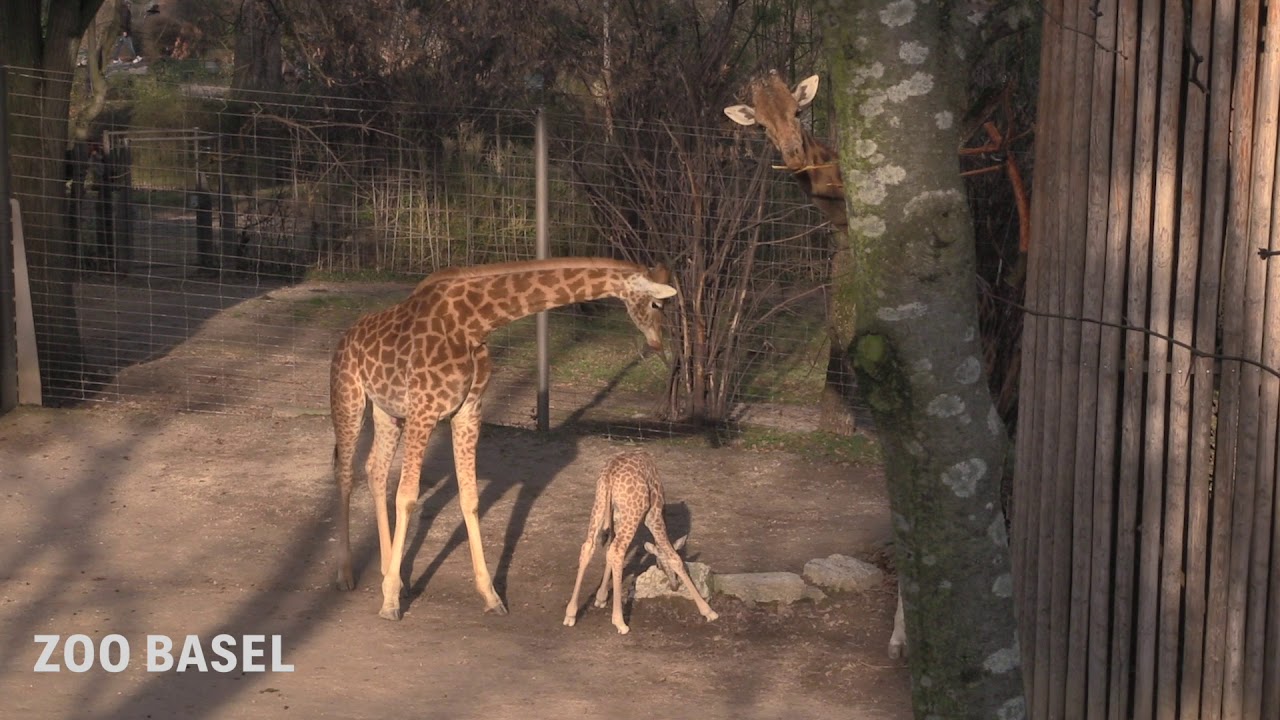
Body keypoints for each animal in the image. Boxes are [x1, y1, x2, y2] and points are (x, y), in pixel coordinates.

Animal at [330, 258, 677, 621]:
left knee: (375, 470)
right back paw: (346, 575)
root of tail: (346, 337)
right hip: (349, 399)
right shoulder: (423, 411)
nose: (657, 344)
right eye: (657, 304)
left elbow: (470, 499)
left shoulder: (468, 412)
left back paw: (387, 571)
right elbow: (408, 497)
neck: (473, 322)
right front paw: (390, 602)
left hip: (388, 413)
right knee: (345, 471)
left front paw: (490, 595)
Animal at [563, 450, 718, 634]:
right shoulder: (654, 515)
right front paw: (708, 611)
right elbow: (674, 557)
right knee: (617, 551)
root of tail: (609, 475)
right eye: (660, 565)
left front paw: (601, 597)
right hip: (634, 512)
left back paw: (570, 614)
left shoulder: (617, 515)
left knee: (589, 546)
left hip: (600, 503)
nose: (674, 586)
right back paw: (620, 622)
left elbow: (607, 551)